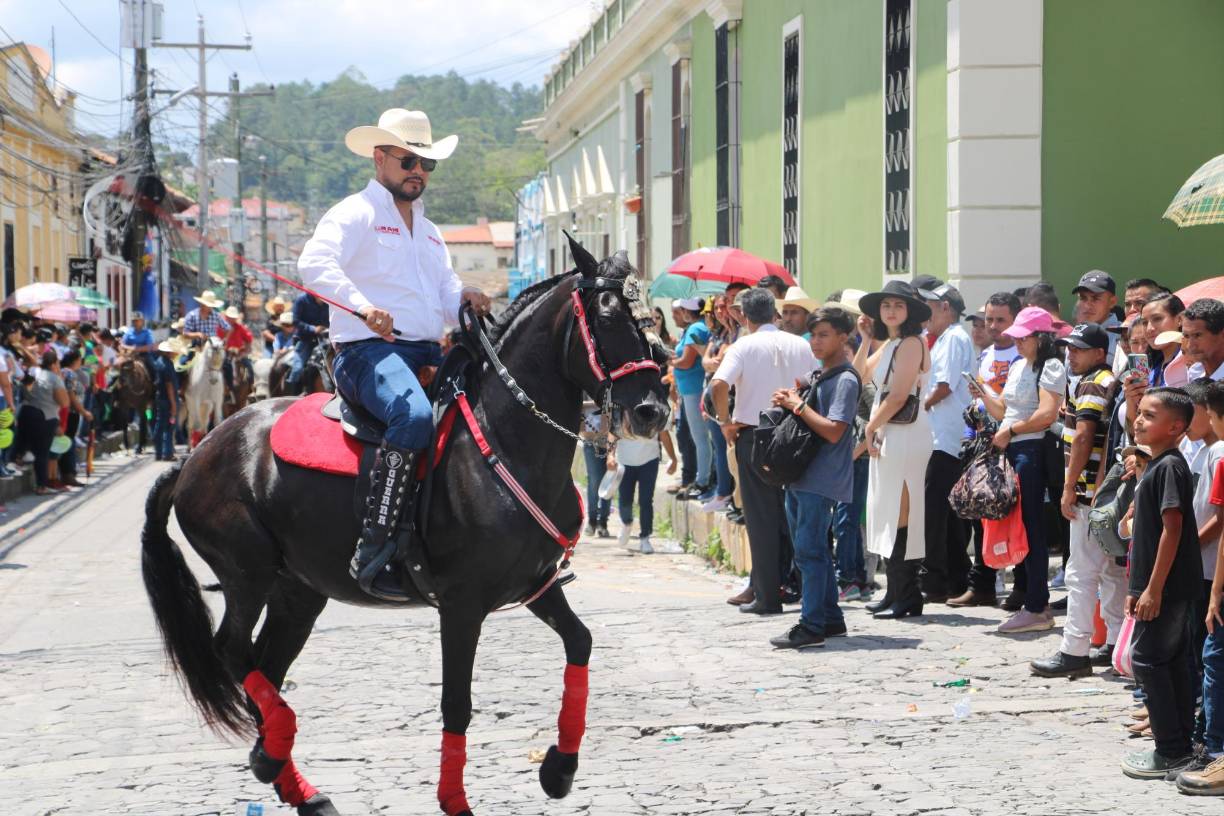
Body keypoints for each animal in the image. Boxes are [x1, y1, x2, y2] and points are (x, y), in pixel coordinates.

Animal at [140, 242, 669, 815]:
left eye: (649, 317)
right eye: (608, 316)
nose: (652, 410)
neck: (505, 439)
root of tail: (195, 457)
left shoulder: (536, 585)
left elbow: (581, 642)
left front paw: (559, 768)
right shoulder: (461, 605)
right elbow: (456, 703)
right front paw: (455, 800)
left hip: (297, 592)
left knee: (266, 664)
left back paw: (288, 774)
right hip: (246, 574)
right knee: (233, 652)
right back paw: (277, 746)